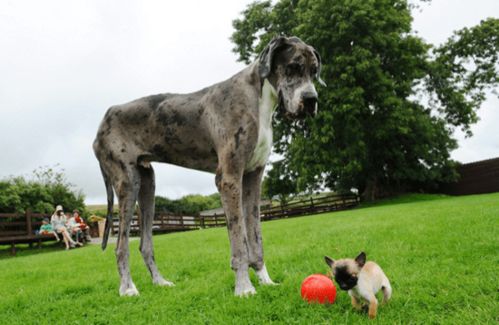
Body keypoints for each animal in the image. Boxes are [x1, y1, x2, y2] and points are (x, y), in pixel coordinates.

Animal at [94, 36, 326, 294]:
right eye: (293, 67)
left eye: (314, 71)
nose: (311, 100)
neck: (259, 99)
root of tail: (103, 120)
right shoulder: (229, 178)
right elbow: (239, 241)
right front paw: (244, 288)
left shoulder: (253, 178)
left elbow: (255, 237)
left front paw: (266, 280)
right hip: (128, 183)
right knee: (120, 246)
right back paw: (128, 289)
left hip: (147, 186)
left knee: (145, 244)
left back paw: (160, 282)